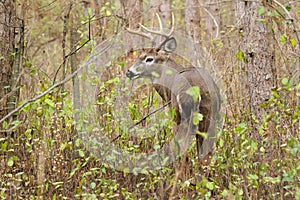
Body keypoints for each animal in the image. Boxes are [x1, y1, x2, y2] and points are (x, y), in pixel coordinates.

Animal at [125, 13, 221, 162]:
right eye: (140, 56)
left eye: (149, 59)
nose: (129, 72)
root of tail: (196, 92)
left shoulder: (173, 113)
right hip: (209, 116)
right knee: (206, 153)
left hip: (182, 116)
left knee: (183, 150)